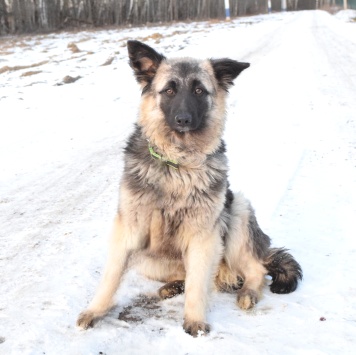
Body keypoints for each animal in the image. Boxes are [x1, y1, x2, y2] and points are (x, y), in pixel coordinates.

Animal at [76, 40, 302, 338]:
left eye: (198, 90)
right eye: (169, 90)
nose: (183, 119)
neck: (177, 163)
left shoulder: (203, 236)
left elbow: (198, 284)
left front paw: (194, 319)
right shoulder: (128, 230)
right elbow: (111, 276)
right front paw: (95, 310)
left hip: (237, 213)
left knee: (254, 268)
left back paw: (248, 292)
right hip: (148, 258)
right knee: (185, 274)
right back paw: (172, 286)